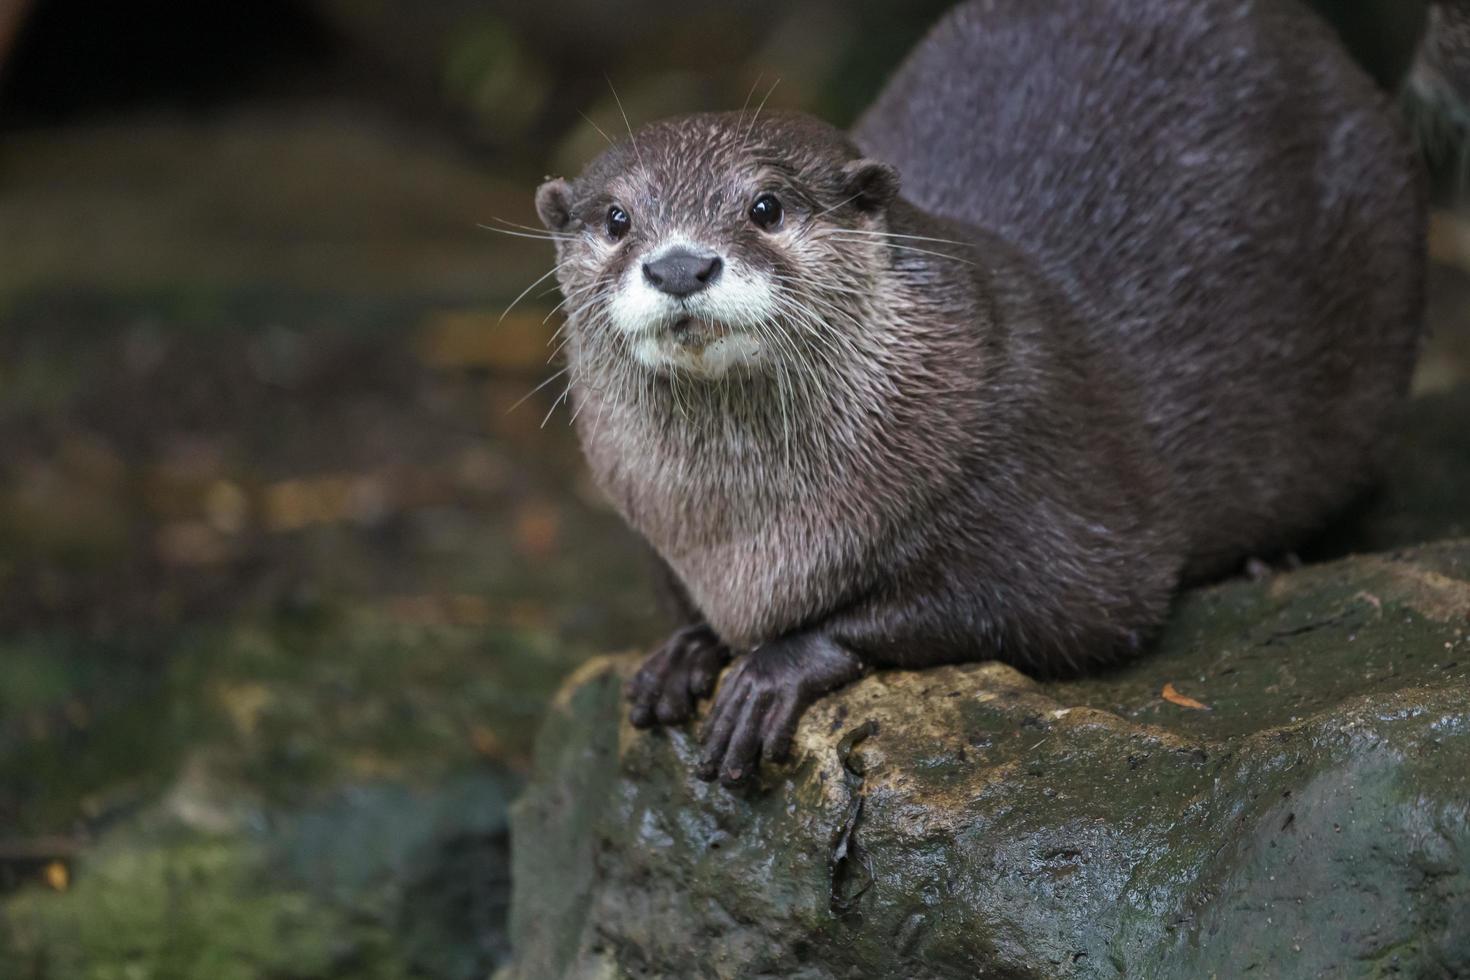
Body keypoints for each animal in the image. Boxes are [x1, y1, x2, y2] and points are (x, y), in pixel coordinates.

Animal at [538, 0, 1422, 787]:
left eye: (767, 205)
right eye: (617, 219)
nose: (680, 264)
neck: (749, 539)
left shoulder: (1039, 477)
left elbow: (1043, 604)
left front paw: (775, 666)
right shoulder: (657, 535)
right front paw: (687, 649)